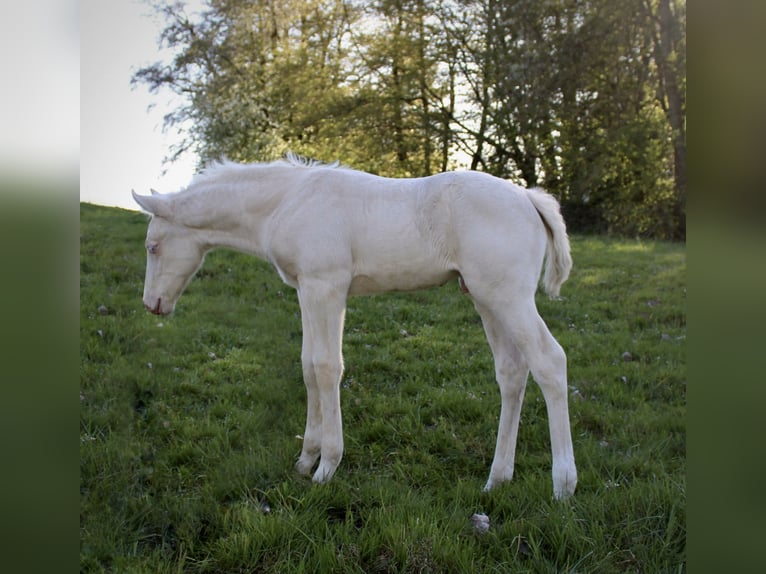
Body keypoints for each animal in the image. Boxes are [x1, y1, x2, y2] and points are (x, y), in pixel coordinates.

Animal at [132, 153, 577, 498]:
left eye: (152, 247)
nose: (152, 305)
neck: (285, 202)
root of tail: (528, 198)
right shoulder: (308, 291)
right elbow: (309, 366)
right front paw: (305, 459)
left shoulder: (327, 286)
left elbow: (328, 368)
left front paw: (327, 467)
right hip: (486, 298)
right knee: (512, 372)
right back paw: (497, 479)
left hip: (509, 296)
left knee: (550, 362)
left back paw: (563, 486)